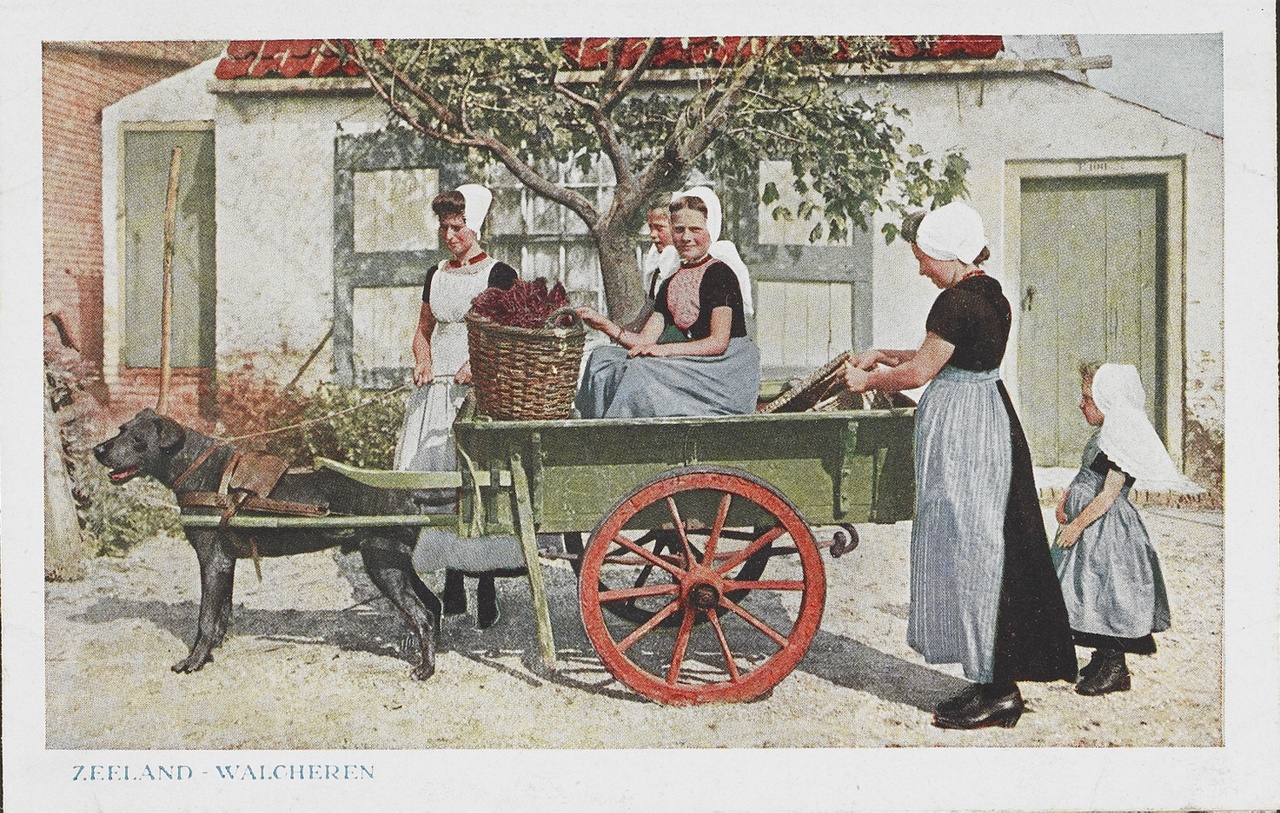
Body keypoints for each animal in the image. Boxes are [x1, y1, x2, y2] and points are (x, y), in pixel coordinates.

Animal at [91, 407, 450, 681]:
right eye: (121, 429)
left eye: (138, 440)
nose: (98, 450)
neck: (202, 473)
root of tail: (409, 492)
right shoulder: (226, 562)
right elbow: (221, 612)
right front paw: (214, 649)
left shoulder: (212, 559)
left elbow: (206, 617)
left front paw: (193, 661)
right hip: (397, 563)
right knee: (433, 605)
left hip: (383, 564)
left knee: (422, 614)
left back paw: (425, 669)